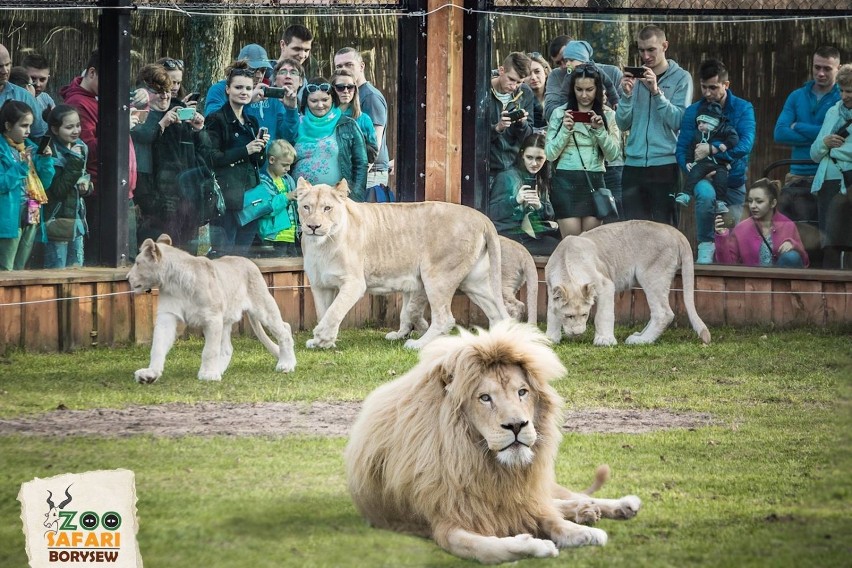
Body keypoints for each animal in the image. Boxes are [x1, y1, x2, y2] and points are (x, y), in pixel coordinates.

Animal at [126, 233, 296, 384]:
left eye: (137, 263)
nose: (127, 277)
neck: (174, 284)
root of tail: (248, 261)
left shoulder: (212, 318)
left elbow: (210, 350)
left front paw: (208, 374)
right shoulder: (168, 316)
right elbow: (158, 346)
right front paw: (150, 374)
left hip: (263, 307)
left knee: (285, 330)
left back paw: (286, 364)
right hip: (227, 319)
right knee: (227, 348)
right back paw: (219, 369)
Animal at [294, 178, 506, 348]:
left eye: (327, 208)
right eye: (306, 207)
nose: (313, 226)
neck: (322, 245)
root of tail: (481, 217)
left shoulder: (354, 283)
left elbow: (335, 311)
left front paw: (321, 336)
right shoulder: (320, 285)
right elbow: (324, 312)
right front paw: (323, 342)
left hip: (438, 276)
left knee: (445, 318)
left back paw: (418, 344)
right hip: (474, 282)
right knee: (496, 312)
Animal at [344, 320, 640, 564]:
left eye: (522, 392)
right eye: (485, 398)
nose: (517, 425)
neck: (487, 465)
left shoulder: (520, 497)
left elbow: (552, 520)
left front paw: (583, 532)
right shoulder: (446, 523)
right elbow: (489, 549)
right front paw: (535, 546)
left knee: (565, 496)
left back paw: (616, 506)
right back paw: (586, 510)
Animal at [544, 221, 712, 346]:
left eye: (585, 314)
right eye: (569, 315)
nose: (578, 333)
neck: (566, 263)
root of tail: (675, 231)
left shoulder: (605, 285)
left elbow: (603, 315)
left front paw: (605, 340)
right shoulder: (551, 289)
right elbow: (551, 314)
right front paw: (550, 338)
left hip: (652, 275)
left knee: (664, 313)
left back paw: (641, 340)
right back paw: (639, 335)